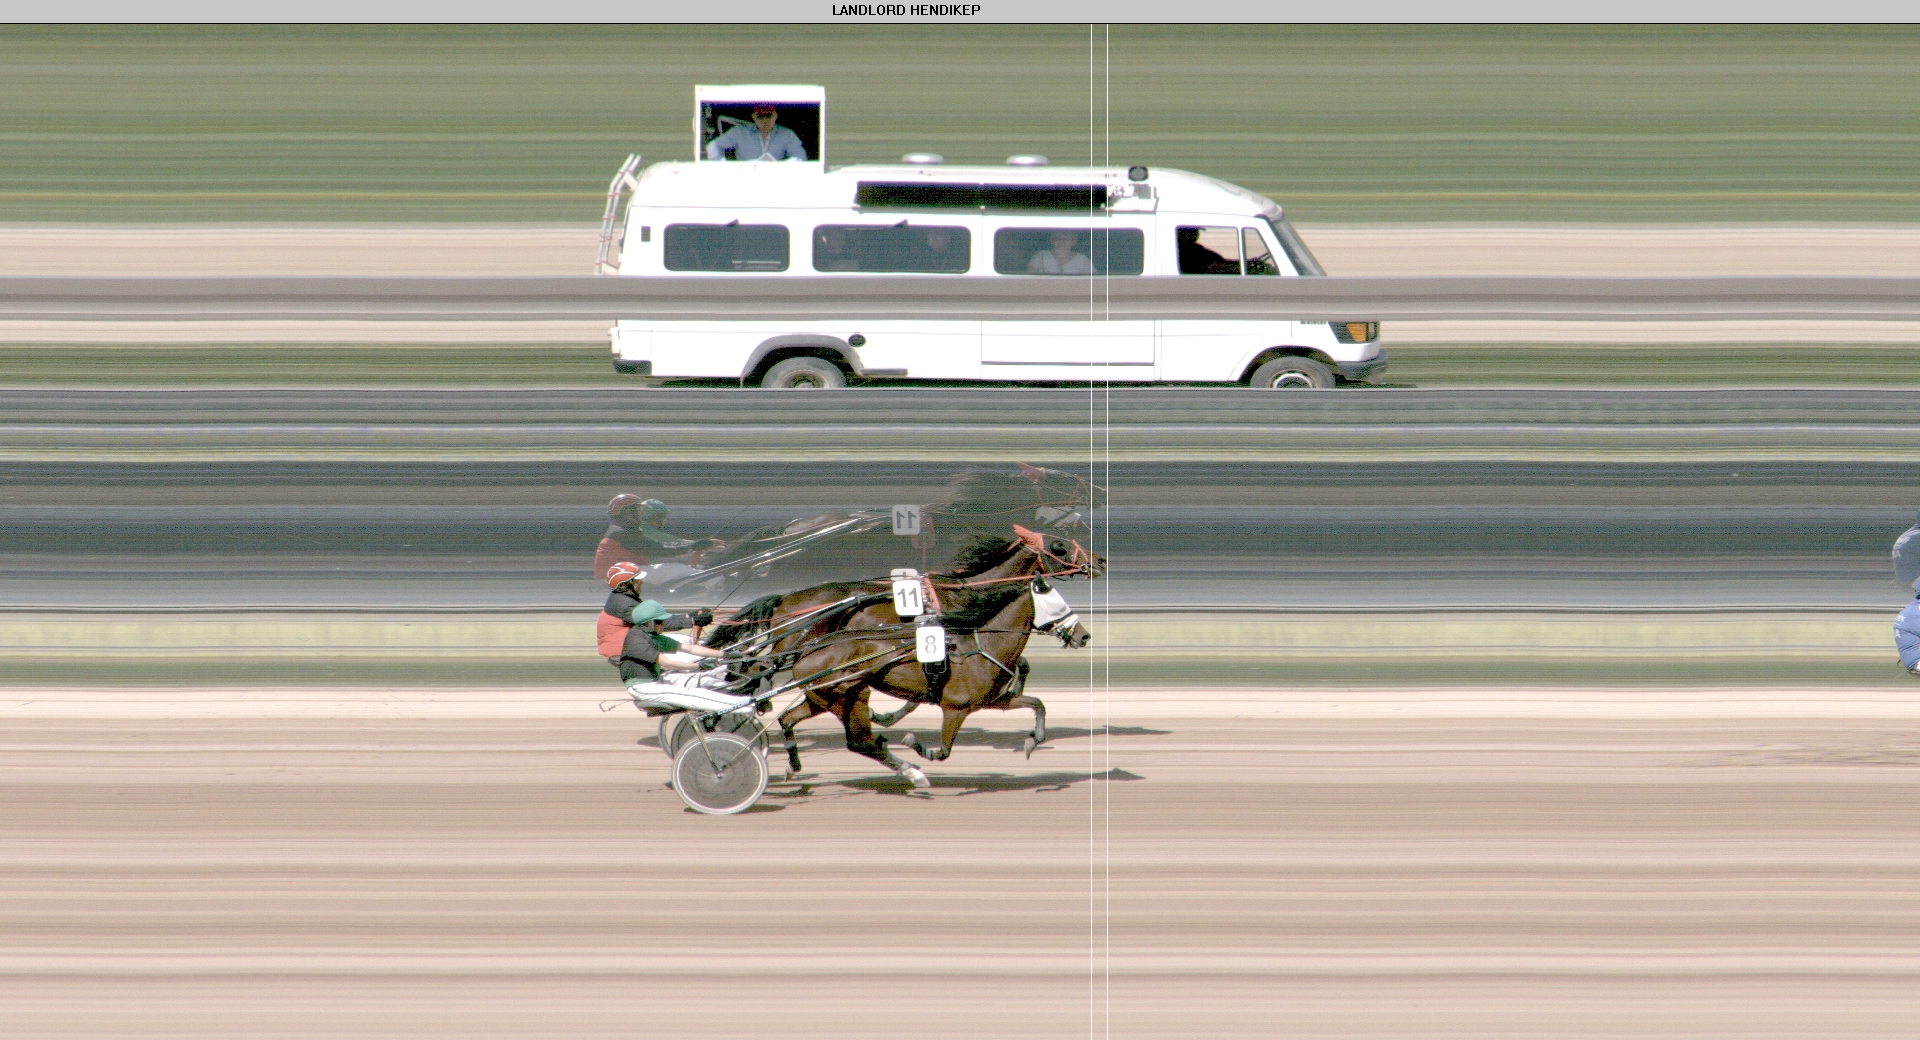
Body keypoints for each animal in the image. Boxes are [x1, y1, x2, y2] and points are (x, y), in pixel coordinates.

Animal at [773, 527, 1103, 788]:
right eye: (1058, 545)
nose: (1099, 561)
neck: (963, 592)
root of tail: (785, 599)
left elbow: (1020, 667)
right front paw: (890, 717)